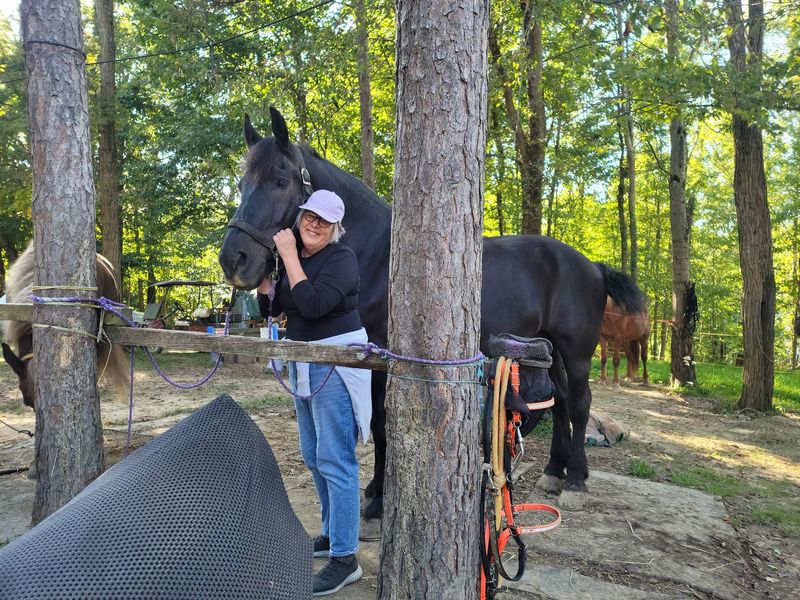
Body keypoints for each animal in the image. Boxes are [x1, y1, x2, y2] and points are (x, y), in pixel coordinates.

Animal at [218, 107, 645, 517]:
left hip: (576, 350)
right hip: (547, 347)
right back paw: (555, 472)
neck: (376, 256)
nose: (233, 260)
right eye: (241, 185)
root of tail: (592, 266)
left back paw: (575, 482)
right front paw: (376, 489)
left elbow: (381, 424)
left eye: (280, 181)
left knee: (579, 403)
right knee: (560, 402)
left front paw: (378, 499)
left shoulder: (382, 357)